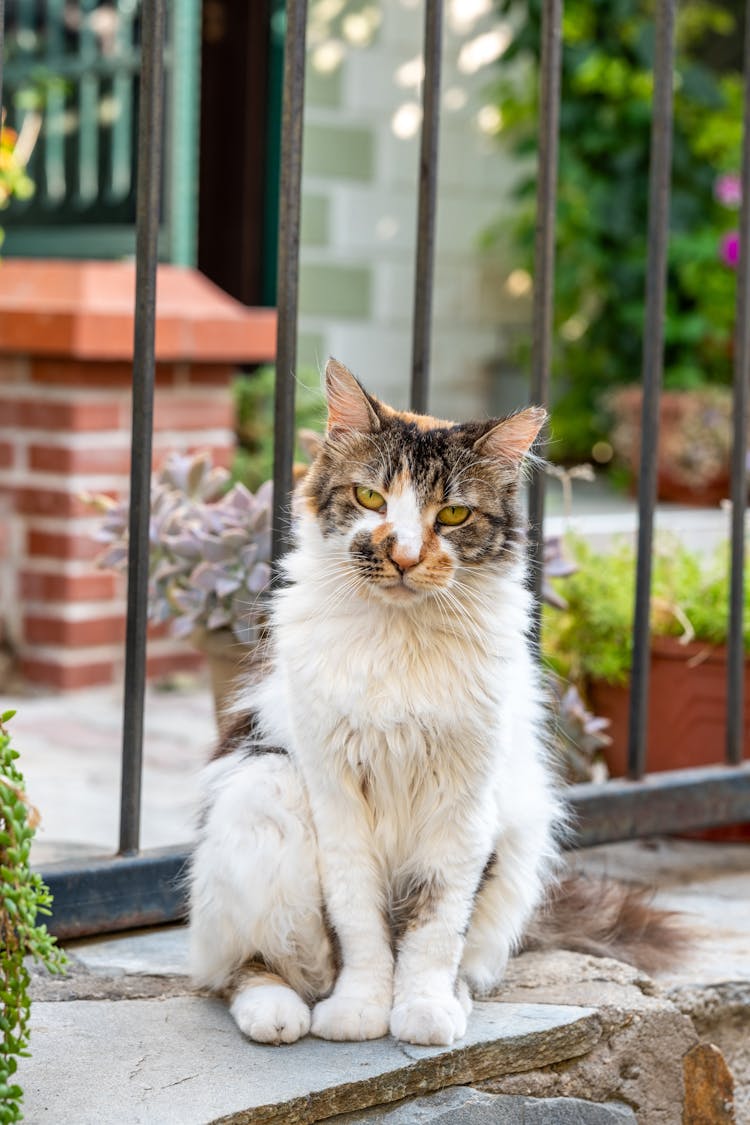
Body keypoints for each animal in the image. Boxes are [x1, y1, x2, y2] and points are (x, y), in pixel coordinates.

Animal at [186, 357, 674, 1044]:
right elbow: (360, 924)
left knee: (469, 955)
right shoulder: (337, 799)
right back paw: (279, 1013)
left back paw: (456, 1000)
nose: (404, 555)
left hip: (519, 835)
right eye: (370, 498)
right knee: (244, 968)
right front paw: (360, 1011)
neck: (402, 641)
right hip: (264, 793)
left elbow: (434, 926)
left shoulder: (465, 808)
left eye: (454, 516)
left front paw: (422, 1011)